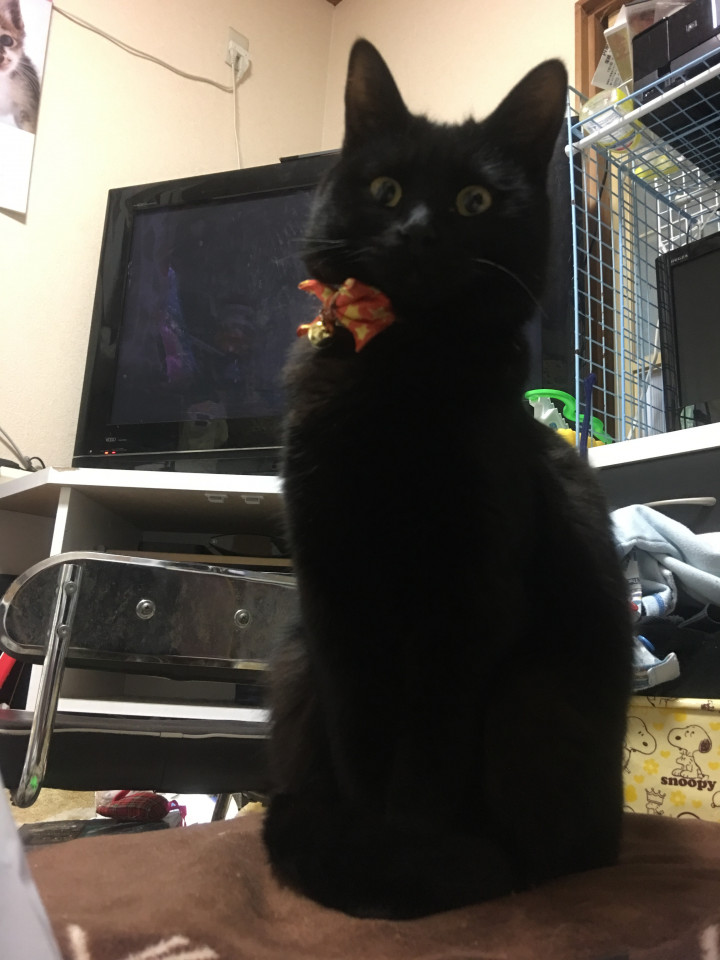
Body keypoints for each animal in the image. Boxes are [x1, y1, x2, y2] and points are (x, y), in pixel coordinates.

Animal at [262, 39, 633, 920]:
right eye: (386, 191)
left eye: (473, 200)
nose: (419, 232)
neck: (401, 373)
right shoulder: (334, 595)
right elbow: (361, 736)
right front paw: (376, 853)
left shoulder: (469, 603)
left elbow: (427, 754)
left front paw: (405, 859)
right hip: (295, 661)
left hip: (534, 696)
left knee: (545, 855)